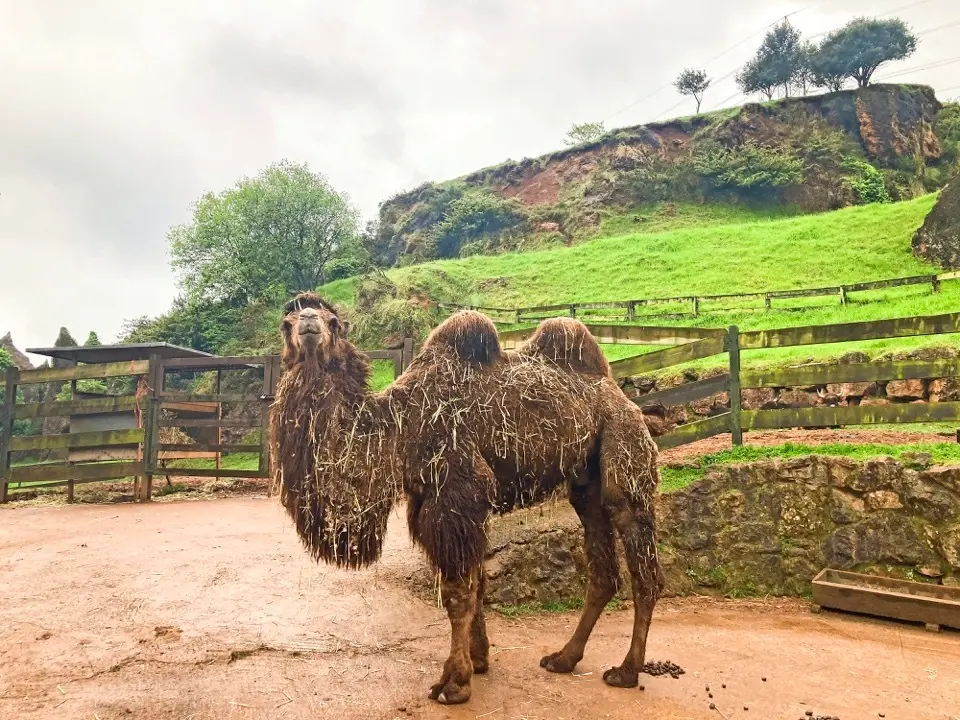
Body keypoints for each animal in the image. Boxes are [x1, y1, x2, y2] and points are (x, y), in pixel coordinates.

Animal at [269, 291, 662, 705]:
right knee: (603, 573)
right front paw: (479, 658)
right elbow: (477, 582)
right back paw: (563, 658)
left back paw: (626, 670)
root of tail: (619, 391)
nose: (308, 321)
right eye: (286, 322)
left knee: (642, 561)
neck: (398, 429)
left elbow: (458, 592)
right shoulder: (428, 504)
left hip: (624, 445)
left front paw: (455, 681)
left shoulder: (458, 493)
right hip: (585, 483)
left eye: (334, 322)